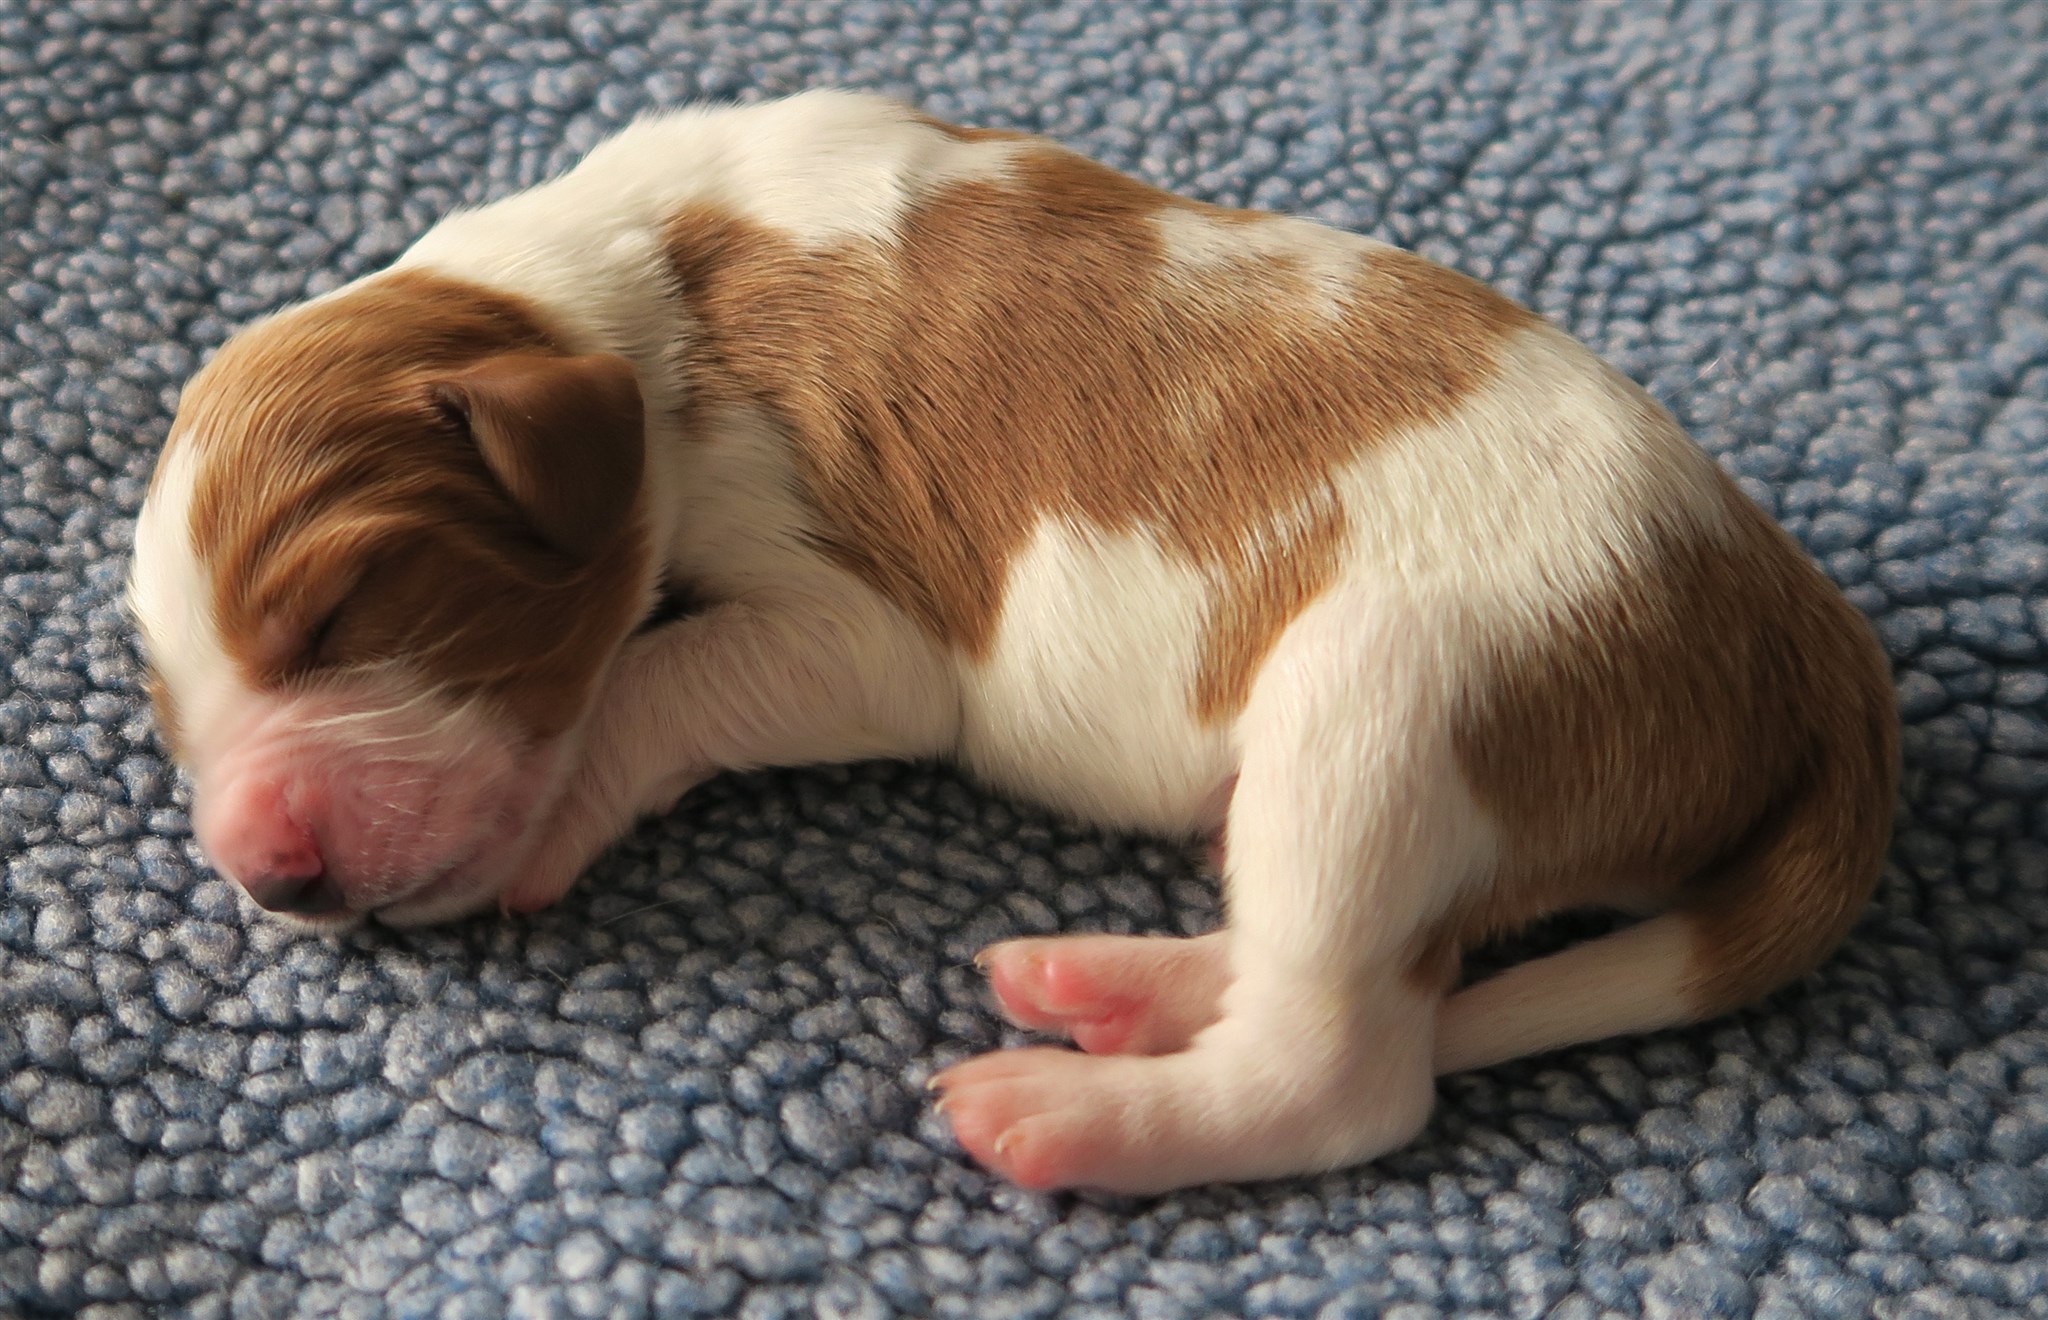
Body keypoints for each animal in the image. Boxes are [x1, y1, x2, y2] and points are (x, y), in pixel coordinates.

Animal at [127, 91, 1898, 1193]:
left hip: (1392, 699)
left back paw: (1075, 1113)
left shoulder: (864, 625)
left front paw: (536, 821)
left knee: (1349, 1062)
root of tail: (1810, 650)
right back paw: (1118, 986)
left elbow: (654, 671)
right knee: (1344, 946)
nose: (267, 872)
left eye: (340, 610)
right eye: (163, 696)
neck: (634, 283)